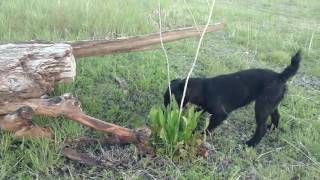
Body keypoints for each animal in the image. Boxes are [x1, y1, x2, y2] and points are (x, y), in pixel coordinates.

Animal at [164, 50, 302, 146]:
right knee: (276, 116)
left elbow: (209, 127)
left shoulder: (220, 114)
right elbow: (200, 110)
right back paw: (272, 129)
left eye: (170, 99)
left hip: (261, 107)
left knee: (261, 128)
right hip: (271, 104)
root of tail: (280, 76)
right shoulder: (207, 107)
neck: (202, 88)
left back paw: (251, 143)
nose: (165, 110)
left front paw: (200, 134)